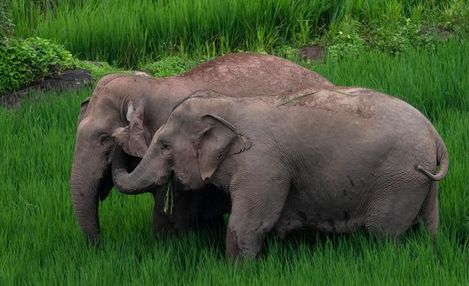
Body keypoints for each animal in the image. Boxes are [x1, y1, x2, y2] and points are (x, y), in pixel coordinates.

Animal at [111, 86, 448, 260]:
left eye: (165, 145)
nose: (116, 134)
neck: (229, 105)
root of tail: (435, 136)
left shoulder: (262, 164)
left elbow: (248, 224)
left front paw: (237, 272)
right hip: (420, 182)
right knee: (428, 227)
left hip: (399, 179)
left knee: (384, 235)